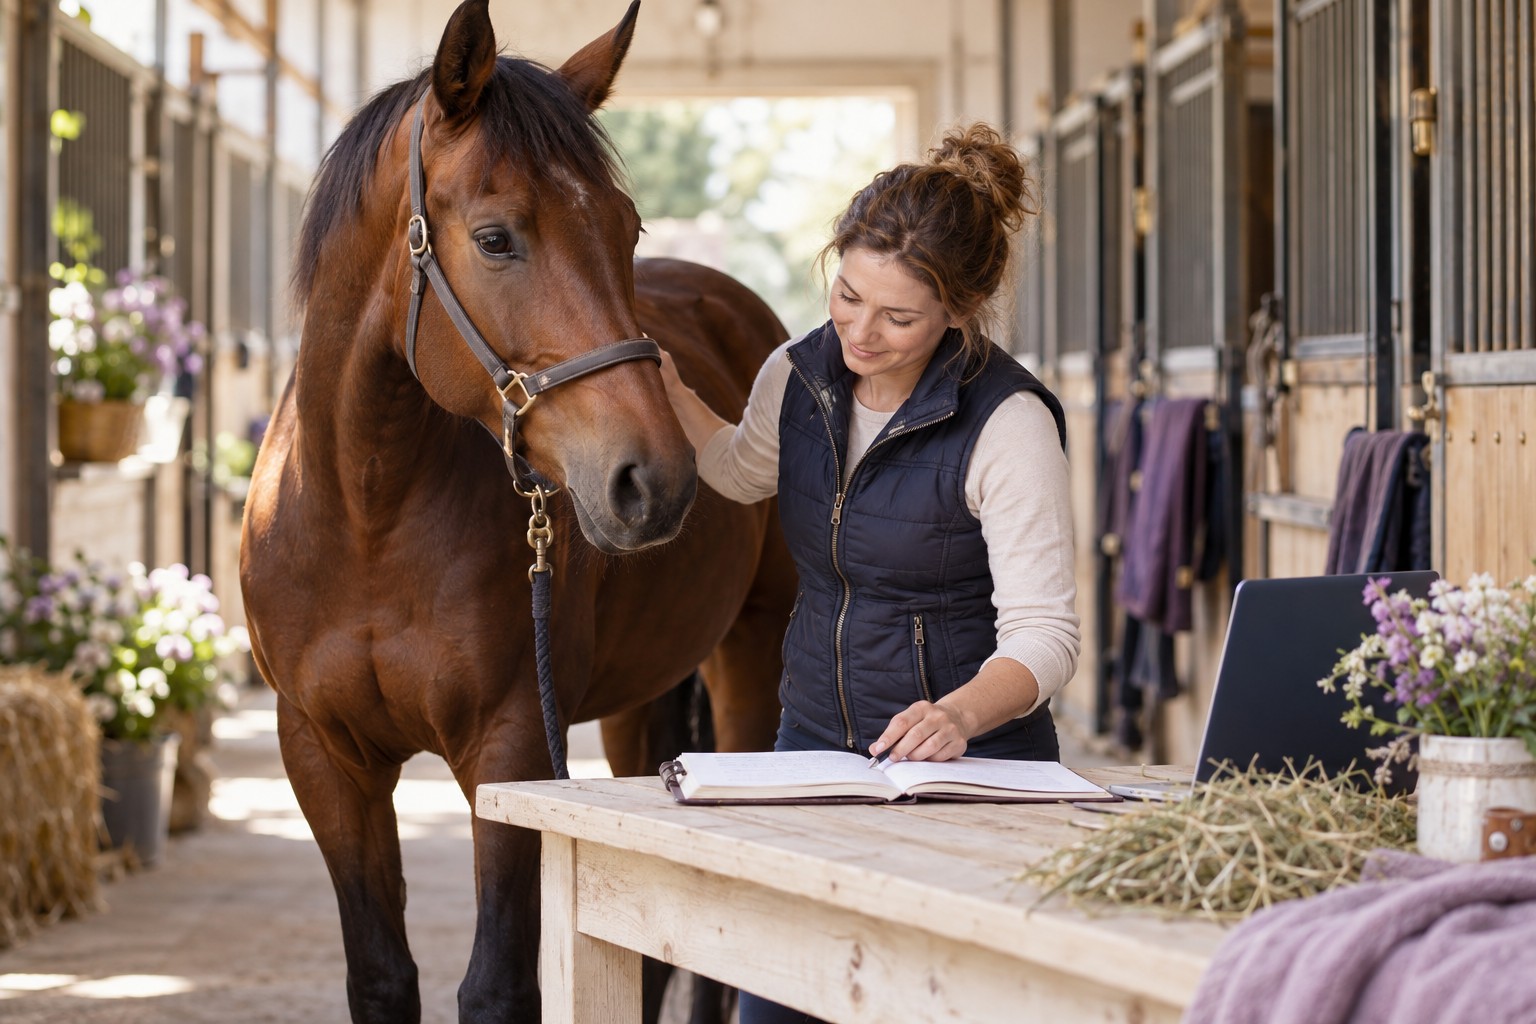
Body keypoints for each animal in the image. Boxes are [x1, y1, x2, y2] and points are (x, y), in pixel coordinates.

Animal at [239, 2, 793, 1020]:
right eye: (496, 238)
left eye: (626, 228)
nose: (656, 480)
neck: (365, 519)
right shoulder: (325, 759)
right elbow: (382, 976)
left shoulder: (512, 752)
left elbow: (499, 985)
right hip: (642, 699)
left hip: (751, 656)